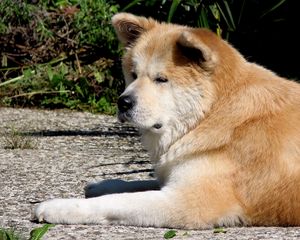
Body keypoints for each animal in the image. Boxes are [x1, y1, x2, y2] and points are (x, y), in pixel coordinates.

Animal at [34, 12, 298, 229]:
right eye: (133, 75)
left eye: (161, 79)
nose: (123, 102)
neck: (213, 114)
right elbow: (138, 184)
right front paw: (104, 184)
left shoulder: (186, 201)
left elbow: (117, 202)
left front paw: (60, 206)